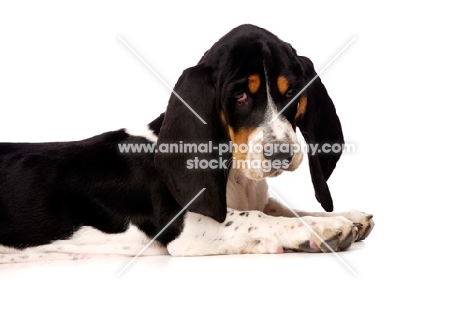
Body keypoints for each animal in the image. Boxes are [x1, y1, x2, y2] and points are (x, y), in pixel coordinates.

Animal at [0, 25, 372, 264]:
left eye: (292, 92)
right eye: (239, 96)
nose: (280, 153)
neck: (237, 177)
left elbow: (280, 208)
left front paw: (347, 216)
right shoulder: (189, 228)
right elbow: (256, 218)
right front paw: (325, 226)